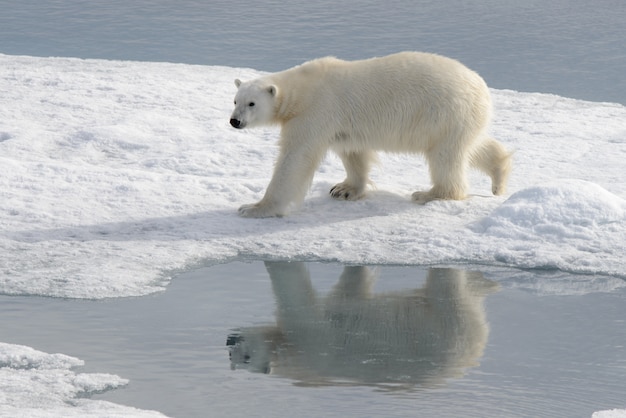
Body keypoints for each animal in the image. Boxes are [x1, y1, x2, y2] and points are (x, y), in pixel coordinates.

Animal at [229, 50, 508, 217]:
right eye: (235, 100)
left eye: (251, 103)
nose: (234, 121)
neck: (302, 90)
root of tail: (482, 88)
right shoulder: (341, 124)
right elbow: (353, 152)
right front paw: (344, 189)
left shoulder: (315, 112)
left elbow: (295, 159)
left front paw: (254, 207)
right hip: (461, 120)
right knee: (471, 147)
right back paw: (499, 175)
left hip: (445, 113)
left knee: (445, 157)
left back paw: (429, 194)